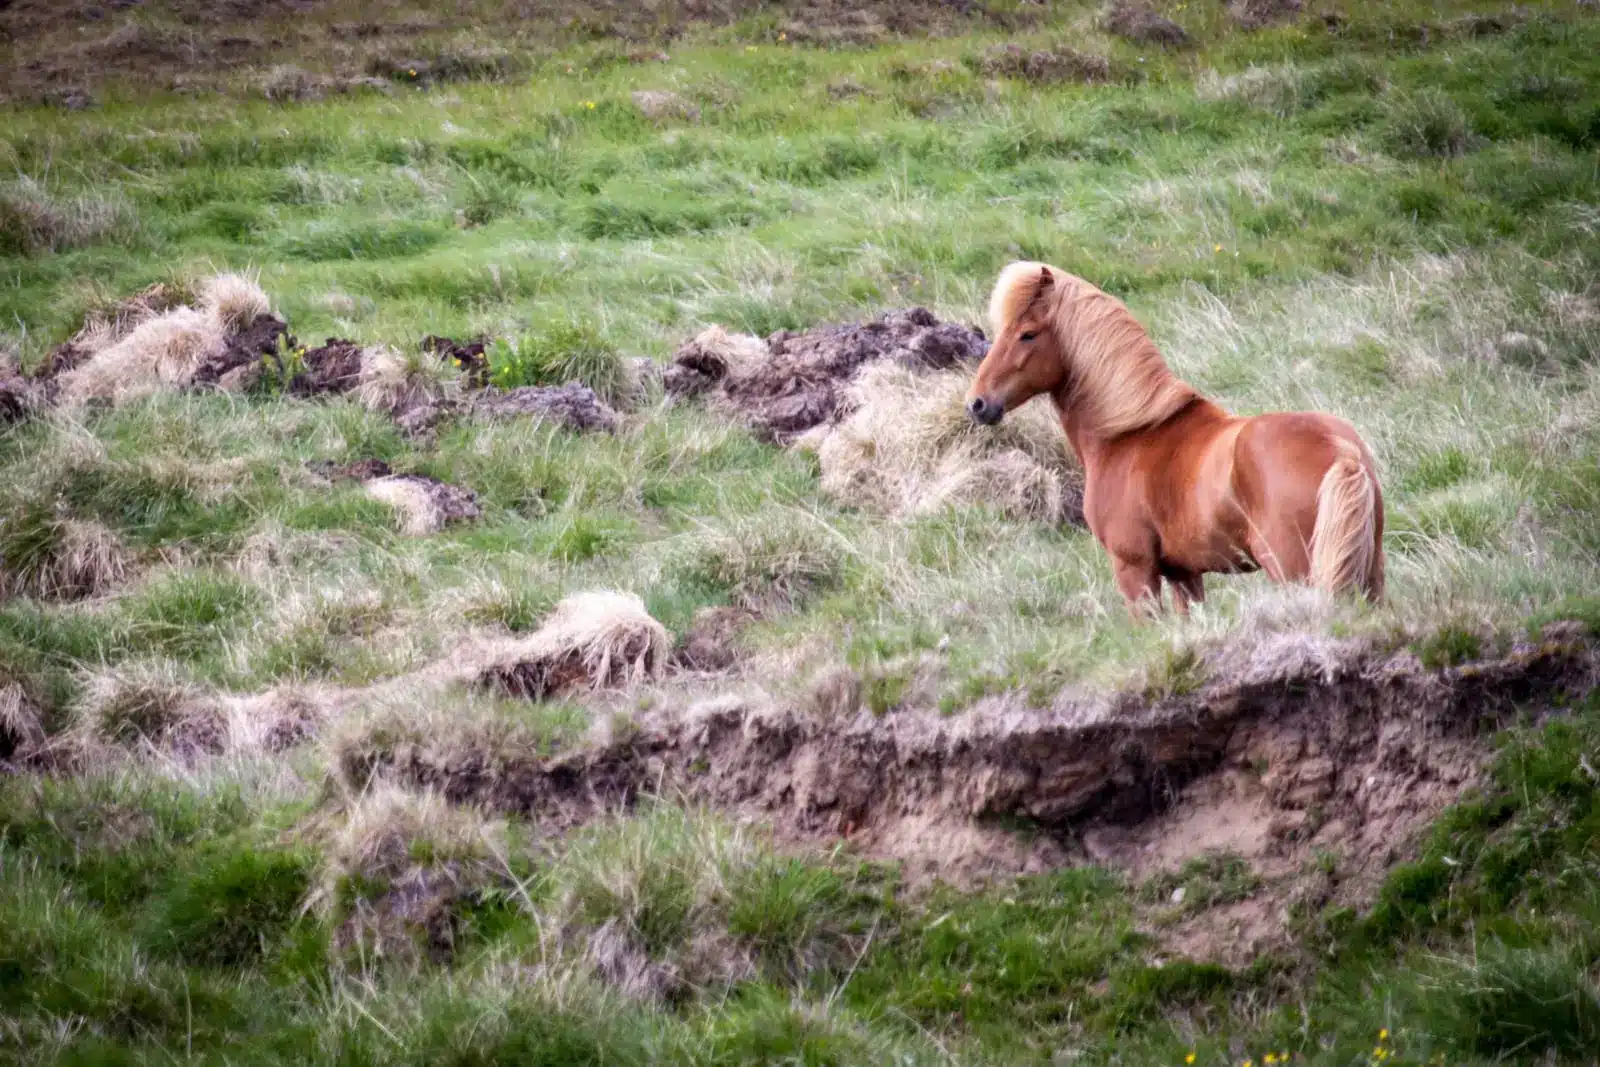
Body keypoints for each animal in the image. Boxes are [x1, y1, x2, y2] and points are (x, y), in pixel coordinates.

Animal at [966, 261, 1384, 617]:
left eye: (1027, 334)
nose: (977, 403)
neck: (1130, 430)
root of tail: (1342, 452)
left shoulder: (1135, 573)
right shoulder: (1184, 575)